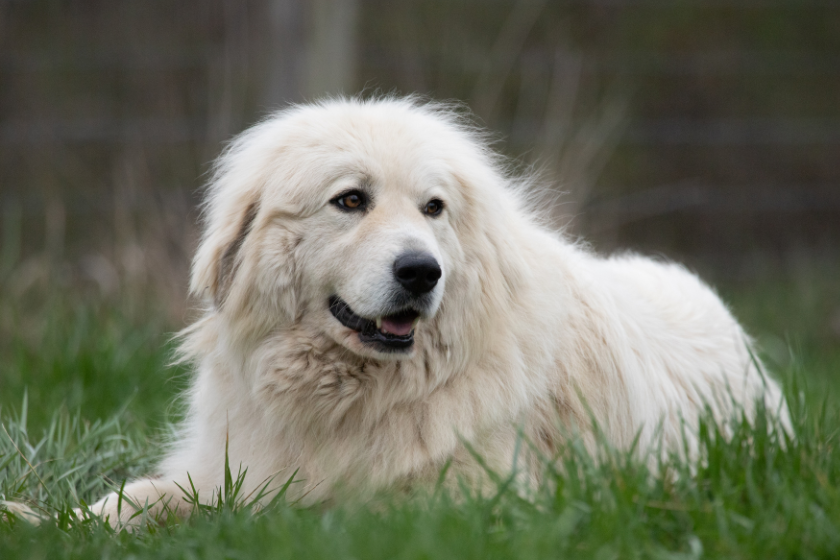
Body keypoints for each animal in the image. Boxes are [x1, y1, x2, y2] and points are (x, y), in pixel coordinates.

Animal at [11, 97, 788, 524]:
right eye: (351, 200)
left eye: (433, 208)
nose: (421, 271)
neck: (353, 399)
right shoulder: (226, 464)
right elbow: (133, 499)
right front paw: (41, 519)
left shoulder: (468, 499)